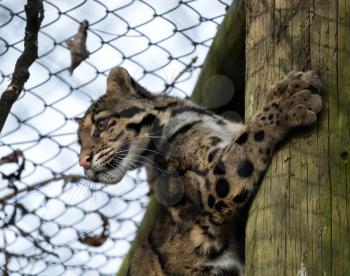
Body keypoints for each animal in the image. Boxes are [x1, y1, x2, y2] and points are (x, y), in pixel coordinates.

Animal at [76, 67, 322, 276]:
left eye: (101, 125)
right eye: (80, 142)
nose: (83, 162)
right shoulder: (212, 185)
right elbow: (248, 137)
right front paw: (288, 100)